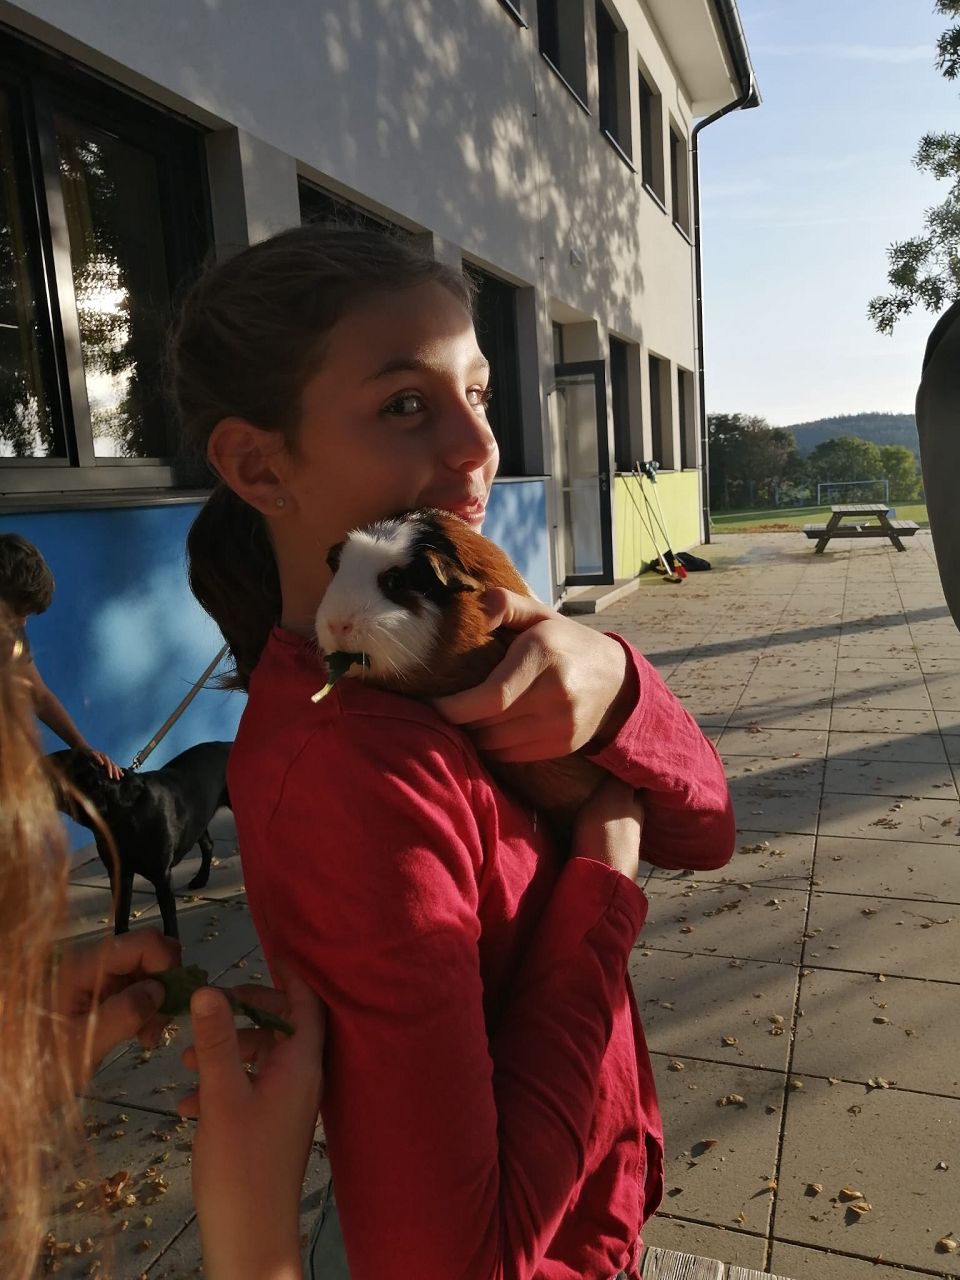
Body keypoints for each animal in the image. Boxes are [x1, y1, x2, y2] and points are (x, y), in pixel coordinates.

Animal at [50, 741, 233, 938]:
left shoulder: (161, 876)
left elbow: (169, 922)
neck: (124, 812)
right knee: (207, 844)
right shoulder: (120, 874)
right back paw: (201, 878)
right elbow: (121, 916)